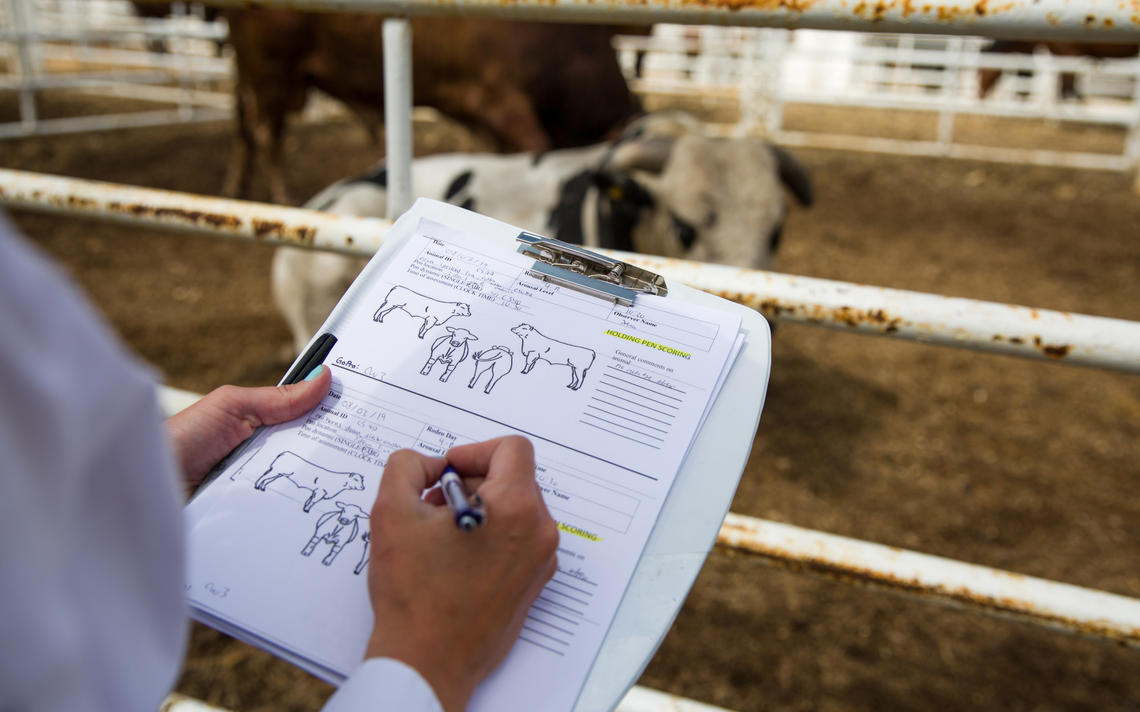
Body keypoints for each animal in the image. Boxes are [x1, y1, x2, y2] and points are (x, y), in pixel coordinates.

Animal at [217, 9, 638, 202]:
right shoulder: (505, 105)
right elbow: (536, 150)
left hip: (252, 72)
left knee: (244, 126)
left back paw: (235, 188)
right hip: (271, 71)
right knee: (266, 133)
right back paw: (283, 196)